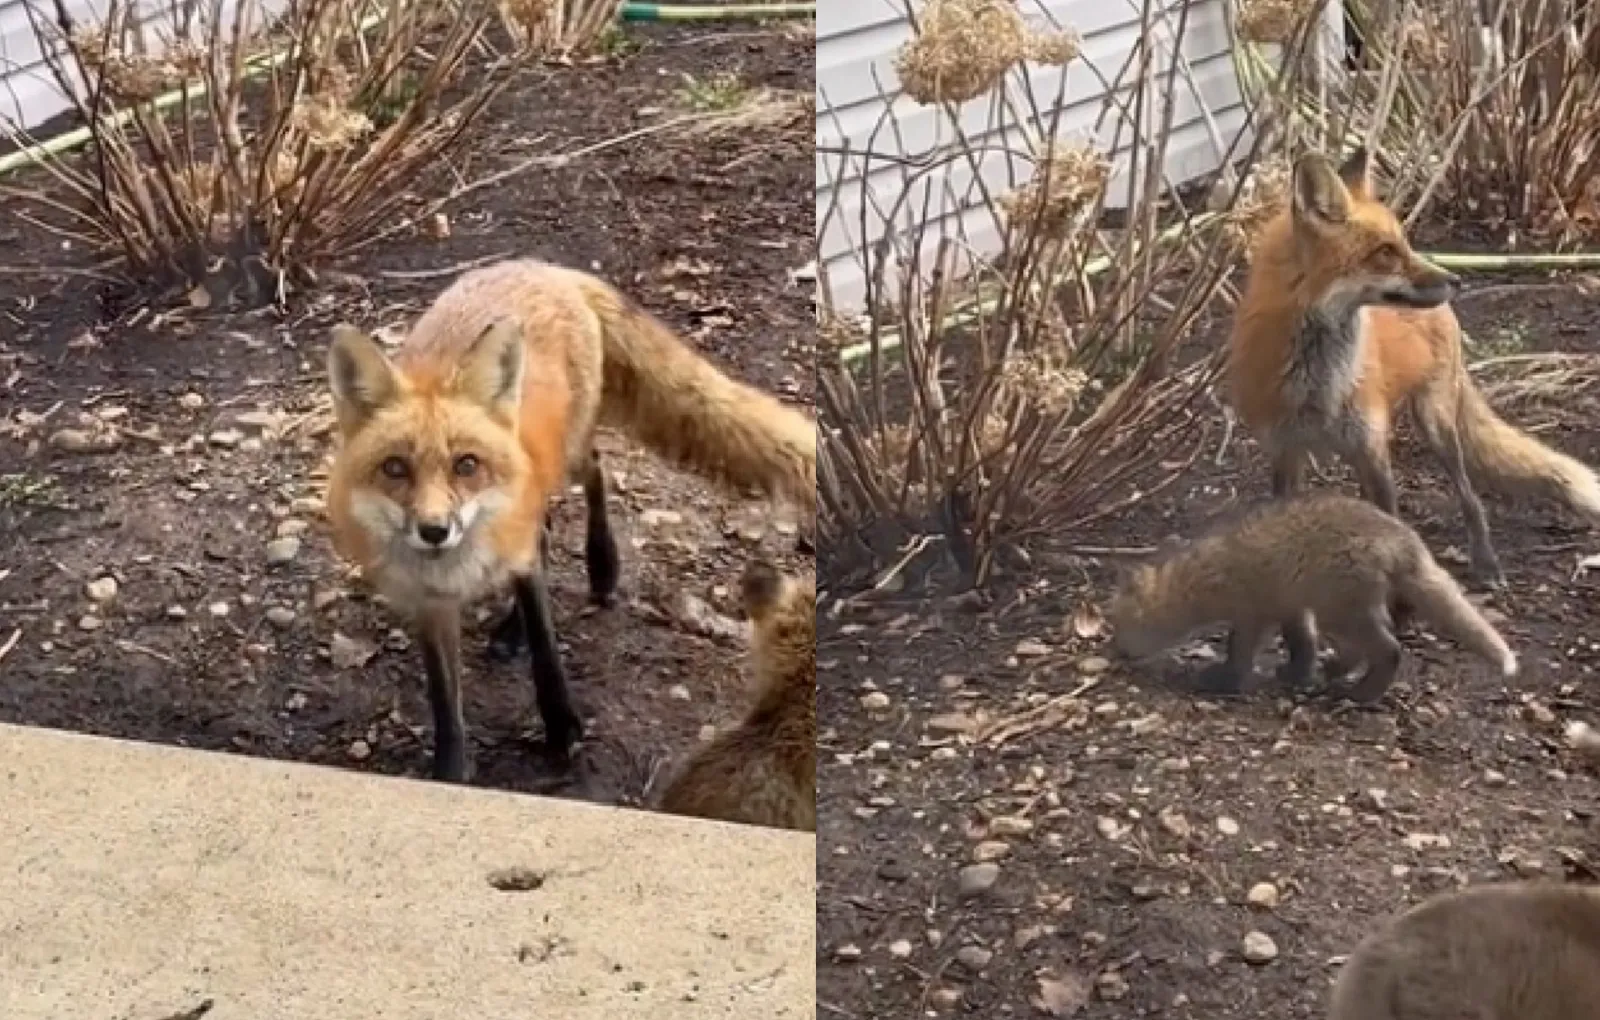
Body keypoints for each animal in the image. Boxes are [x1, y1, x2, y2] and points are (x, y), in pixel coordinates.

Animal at [321, 262, 812, 783]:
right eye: (395, 468)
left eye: (466, 465)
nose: (434, 531)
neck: (457, 566)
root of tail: (543, 267)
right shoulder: (429, 603)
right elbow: (445, 703)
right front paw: (451, 774)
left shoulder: (517, 557)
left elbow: (546, 648)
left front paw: (561, 727)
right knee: (548, 527)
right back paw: (512, 627)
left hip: (570, 456)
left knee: (595, 470)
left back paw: (602, 565)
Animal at [1107, 492, 1516, 703]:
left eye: (1117, 625)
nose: (1114, 654)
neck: (1205, 573)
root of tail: (1405, 541)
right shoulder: (1293, 607)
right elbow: (1302, 646)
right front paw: (1298, 675)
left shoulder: (1254, 614)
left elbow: (1239, 653)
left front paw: (1222, 680)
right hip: (1342, 608)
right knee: (1361, 650)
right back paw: (1334, 672)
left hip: (1341, 609)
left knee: (1388, 650)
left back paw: (1361, 695)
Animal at [1222, 147, 1600, 588]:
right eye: (1386, 252)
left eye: (1403, 244)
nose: (1455, 280)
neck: (1317, 385)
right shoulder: (1285, 455)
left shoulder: (1371, 452)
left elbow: (1394, 524)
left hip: (1435, 423)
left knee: (1471, 498)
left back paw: (1486, 563)